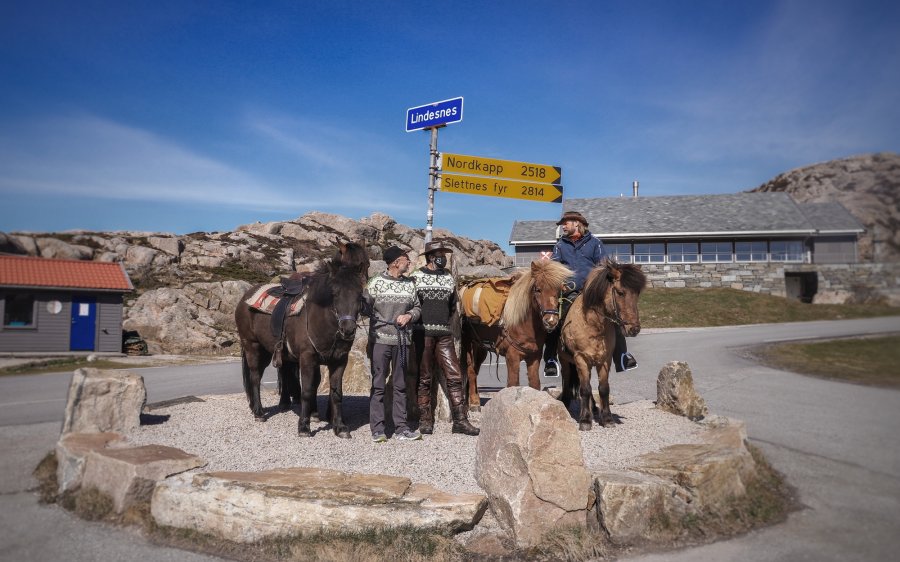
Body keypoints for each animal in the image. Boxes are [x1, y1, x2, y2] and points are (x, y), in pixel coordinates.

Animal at [237, 242, 370, 438]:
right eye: (335, 293)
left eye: (359, 293)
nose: (348, 329)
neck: (320, 318)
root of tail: (245, 297)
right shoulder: (307, 358)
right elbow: (307, 390)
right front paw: (304, 426)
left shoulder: (339, 360)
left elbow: (336, 393)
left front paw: (339, 426)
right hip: (252, 346)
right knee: (255, 376)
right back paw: (259, 412)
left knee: (281, 372)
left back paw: (278, 404)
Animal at [464, 258, 568, 406]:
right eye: (537, 289)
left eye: (559, 290)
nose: (551, 321)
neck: (522, 323)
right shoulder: (512, 357)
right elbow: (513, 384)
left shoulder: (534, 357)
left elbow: (535, 384)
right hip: (469, 345)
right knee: (470, 370)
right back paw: (474, 402)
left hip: (480, 348)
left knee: (475, 370)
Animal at [560, 258, 644, 428]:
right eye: (620, 292)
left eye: (637, 293)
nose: (634, 329)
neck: (593, 325)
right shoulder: (580, 359)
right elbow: (585, 389)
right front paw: (585, 420)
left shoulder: (605, 360)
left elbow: (603, 388)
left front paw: (607, 418)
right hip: (565, 361)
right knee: (567, 380)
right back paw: (566, 403)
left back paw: (593, 407)